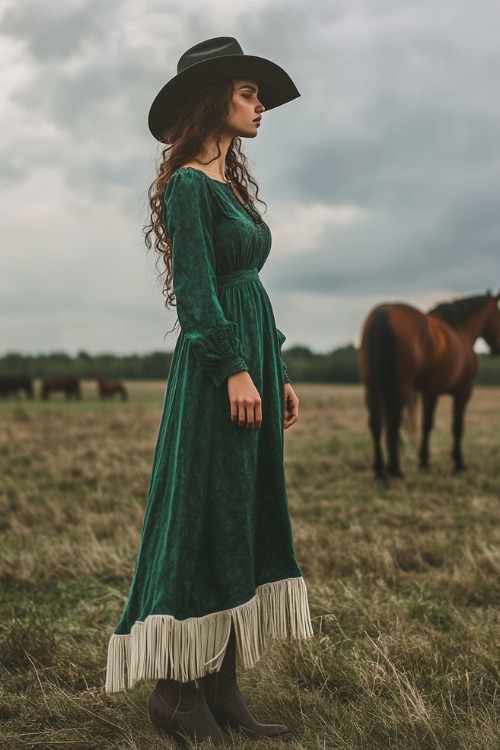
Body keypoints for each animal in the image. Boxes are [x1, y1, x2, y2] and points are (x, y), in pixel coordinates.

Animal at [360, 290, 500, 478]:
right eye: (498, 314)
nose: (497, 348)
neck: (460, 332)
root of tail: (384, 312)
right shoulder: (462, 391)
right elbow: (456, 427)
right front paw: (458, 464)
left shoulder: (429, 392)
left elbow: (426, 425)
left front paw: (424, 462)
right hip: (400, 386)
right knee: (393, 421)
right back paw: (395, 470)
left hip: (372, 385)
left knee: (377, 423)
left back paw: (380, 470)